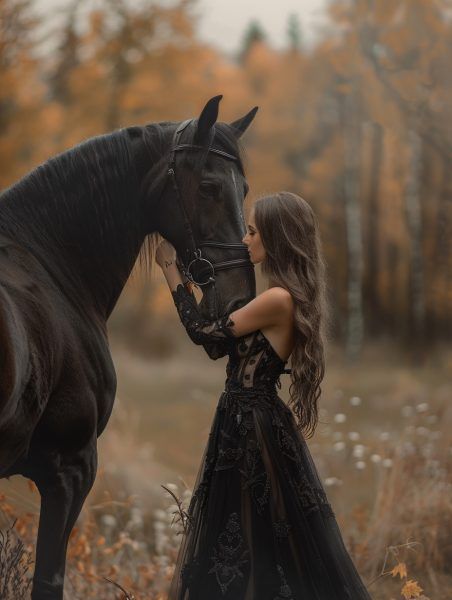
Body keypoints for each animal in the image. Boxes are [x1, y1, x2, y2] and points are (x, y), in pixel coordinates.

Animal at [0, 96, 258, 596]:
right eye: (210, 187)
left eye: (245, 189)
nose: (241, 297)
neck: (49, 259)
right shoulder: (70, 469)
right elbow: (48, 579)